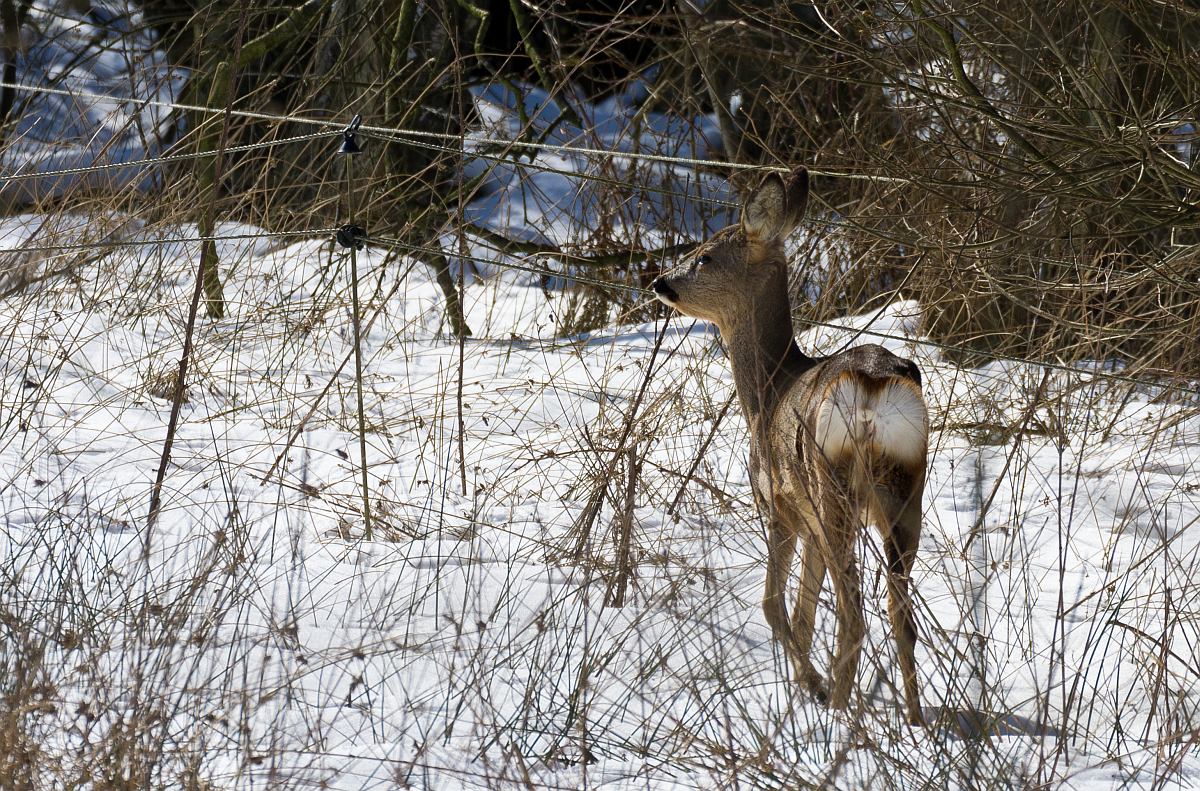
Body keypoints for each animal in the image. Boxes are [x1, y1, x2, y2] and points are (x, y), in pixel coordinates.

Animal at [657, 170, 926, 724]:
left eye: (705, 256)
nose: (660, 281)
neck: (768, 391)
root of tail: (872, 387)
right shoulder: (807, 520)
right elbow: (802, 612)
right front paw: (806, 682)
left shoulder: (779, 504)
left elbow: (773, 605)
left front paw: (810, 685)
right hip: (905, 487)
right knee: (899, 612)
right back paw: (915, 722)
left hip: (829, 485)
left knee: (853, 613)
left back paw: (840, 715)